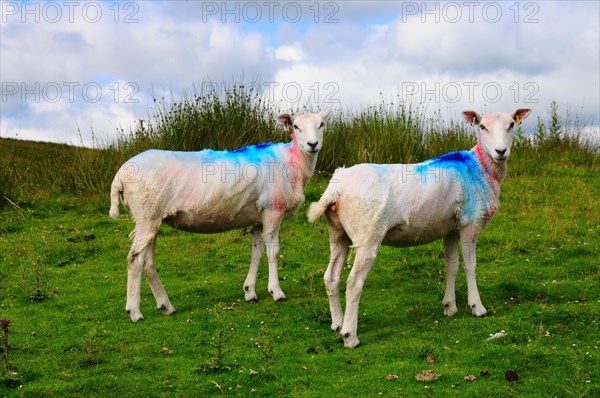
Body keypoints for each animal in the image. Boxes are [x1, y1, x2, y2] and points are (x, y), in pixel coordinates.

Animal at [109, 107, 330, 322]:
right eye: (296, 126)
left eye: (321, 124)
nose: (312, 144)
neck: (292, 161)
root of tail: (120, 175)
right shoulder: (272, 211)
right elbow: (273, 252)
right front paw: (276, 292)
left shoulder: (258, 218)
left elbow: (256, 253)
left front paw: (250, 292)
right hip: (147, 215)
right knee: (134, 260)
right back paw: (135, 312)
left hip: (151, 219)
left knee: (148, 263)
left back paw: (166, 306)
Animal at [308, 107, 532, 346]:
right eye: (482, 127)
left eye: (512, 125)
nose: (501, 151)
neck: (479, 168)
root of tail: (336, 189)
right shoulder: (470, 222)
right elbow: (470, 266)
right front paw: (477, 307)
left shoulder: (451, 228)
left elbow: (451, 265)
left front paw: (449, 307)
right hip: (367, 235)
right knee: (353, 283)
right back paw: (350, 336)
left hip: (338, 232)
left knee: (331, 278)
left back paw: (337, 324)